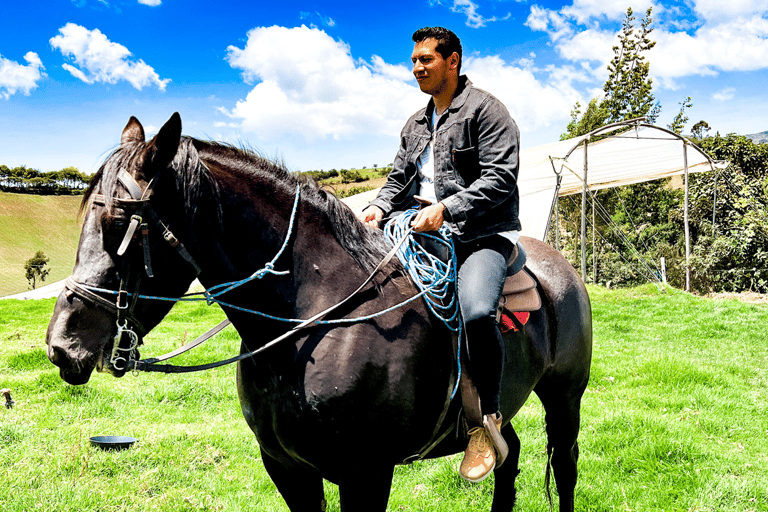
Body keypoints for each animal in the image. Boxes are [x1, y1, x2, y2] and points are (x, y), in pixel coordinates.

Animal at [46, 113, 592, 512]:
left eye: (118, 224)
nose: (61, 346)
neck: (313, 322)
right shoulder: (288, 469)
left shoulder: (366, 474)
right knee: (507, 457)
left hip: (564, 397)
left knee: (565, 467)